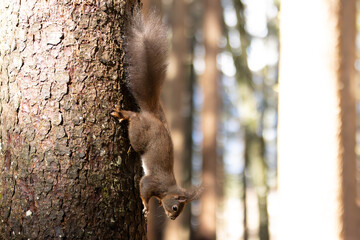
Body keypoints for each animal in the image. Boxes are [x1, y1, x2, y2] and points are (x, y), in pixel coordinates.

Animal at [112, 10, 202, 220]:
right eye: (176, 207)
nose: (172, 218)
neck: (169, 188)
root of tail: (151, 115)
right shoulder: (154, 182)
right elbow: (144, 188)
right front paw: (146, 206)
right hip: (140, 134)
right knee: (135, 120)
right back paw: (124, 114)